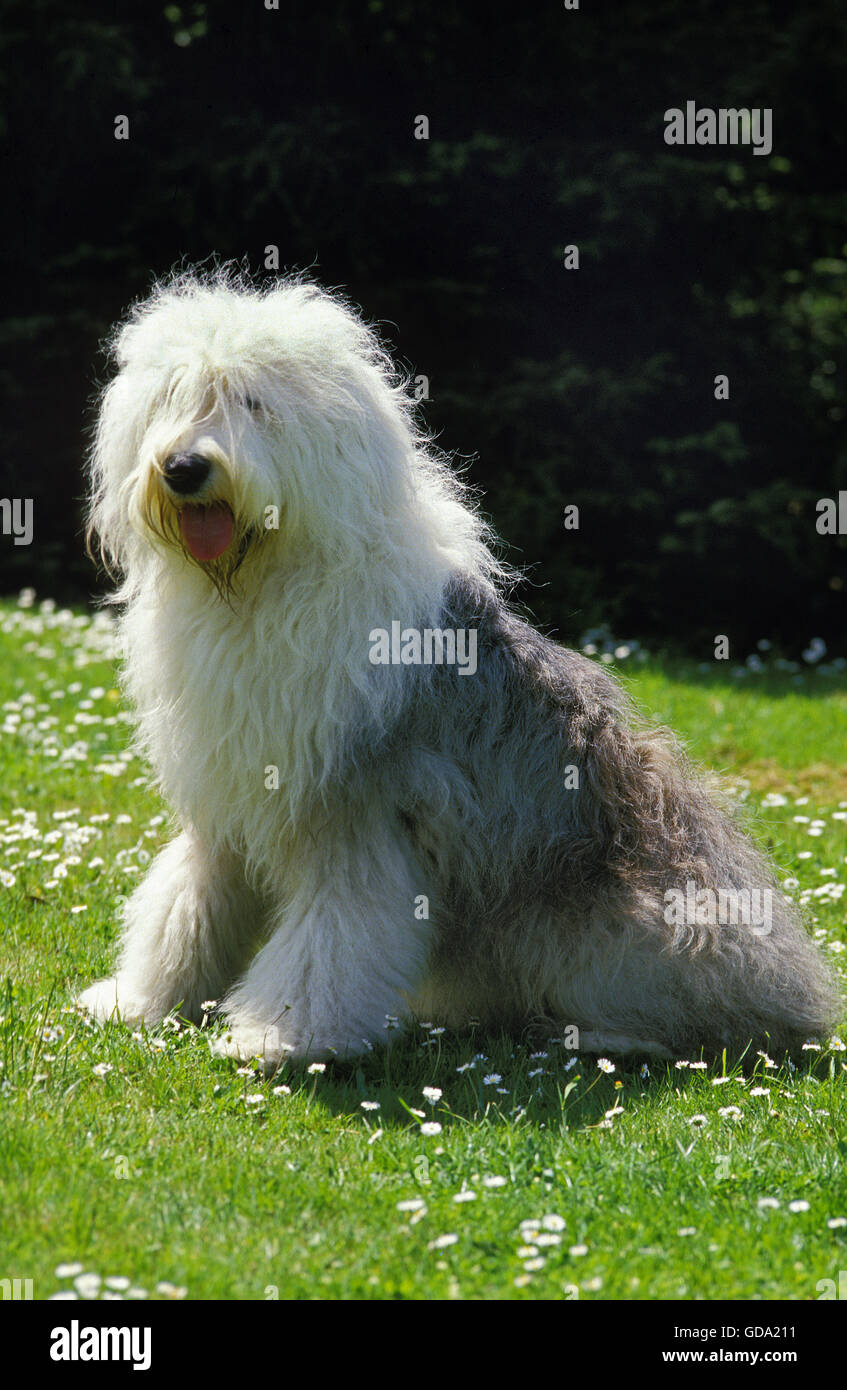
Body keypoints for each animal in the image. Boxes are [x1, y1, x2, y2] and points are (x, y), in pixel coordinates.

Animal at [79, 265, 840, 1056]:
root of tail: (801, 994)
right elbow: (188, 903)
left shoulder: (359, 816)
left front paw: (284, 1037)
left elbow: (333, 933)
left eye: (253, 403)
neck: (253, 589)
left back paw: (602, 1037)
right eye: (173, 398)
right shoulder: (225, 799)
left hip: (621, 922)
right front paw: (143, 1001)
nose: (183, 468)